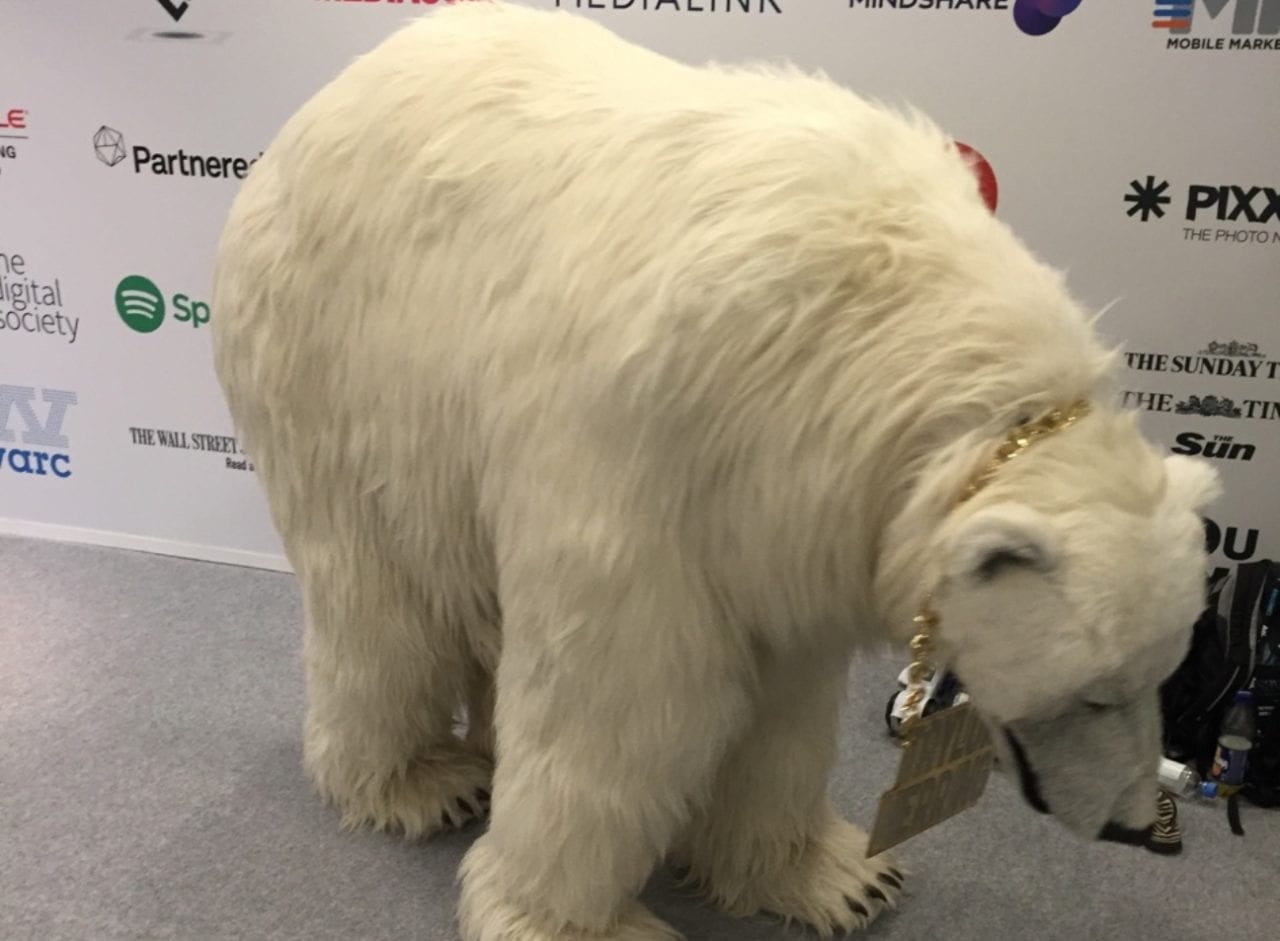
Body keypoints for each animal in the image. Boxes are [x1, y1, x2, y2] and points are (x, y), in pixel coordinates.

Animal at [210, 4, 1221, 939]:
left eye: (1164, 672)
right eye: (1094, 691)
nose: (1137, 822)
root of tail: (339, 87)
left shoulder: (792, 507)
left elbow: (784, 703)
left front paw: (839, 878)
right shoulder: (657, 446)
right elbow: (627, 699)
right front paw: (574, 919)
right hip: (340, 361)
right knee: (380, 594)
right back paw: (421, 782)